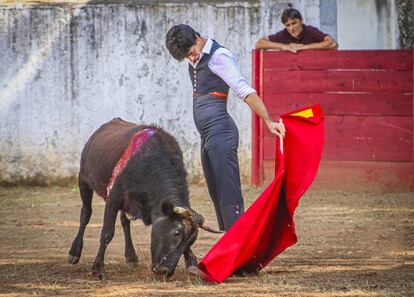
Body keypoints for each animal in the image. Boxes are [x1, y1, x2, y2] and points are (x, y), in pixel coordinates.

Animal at [67, 117, 220, 278]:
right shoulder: (113, 198)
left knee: (124, 221)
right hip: (83, 179)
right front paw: (99, 269)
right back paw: (74, 252)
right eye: (176, 233)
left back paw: (131, 257)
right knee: (86, 213)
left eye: (191, 241)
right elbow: (107, 233)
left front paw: (191, 262)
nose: (165, 271)